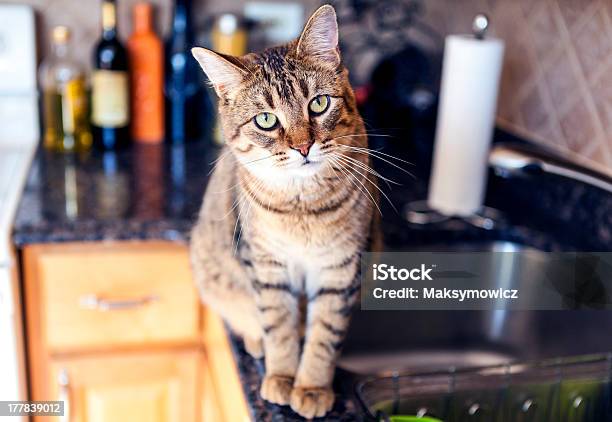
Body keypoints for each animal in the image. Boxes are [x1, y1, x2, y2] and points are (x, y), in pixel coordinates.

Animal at [191, 4, 378, 418]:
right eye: (266, 120)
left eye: (319, 103)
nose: (303, 147)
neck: (302, 208)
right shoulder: (266, 265)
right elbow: (278, 326)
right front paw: (281, 376)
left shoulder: (341, 268)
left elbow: (324, 335)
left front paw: (311, 386)